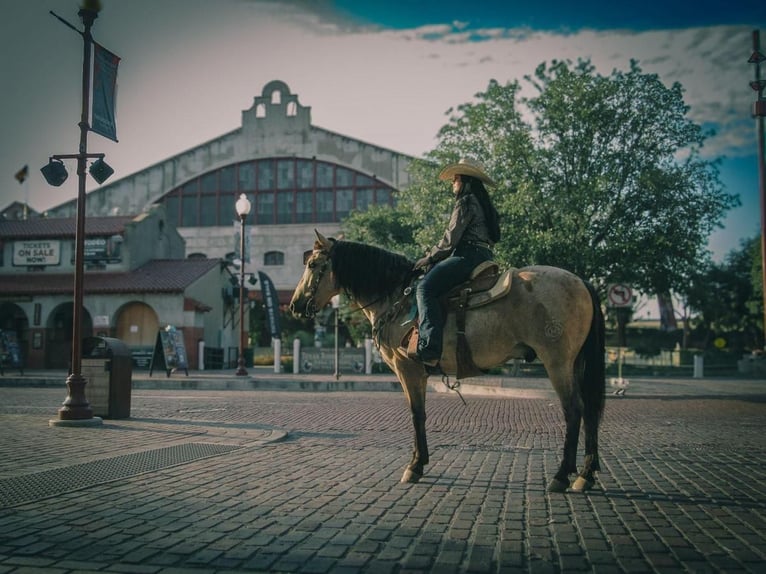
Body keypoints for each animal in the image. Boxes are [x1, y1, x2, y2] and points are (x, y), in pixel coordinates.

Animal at [290, 232, 608, 492]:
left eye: (313, 265)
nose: (294, 305)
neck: (396, 299)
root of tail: (580, 281)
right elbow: (419, 414)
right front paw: (419, 461)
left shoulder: (409, 370)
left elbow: (416, 414)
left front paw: (415, 466)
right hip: (575, 363)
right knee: (589, 410)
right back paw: (585, 474)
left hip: (557, 362)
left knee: (574, 410)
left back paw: (562, 475)